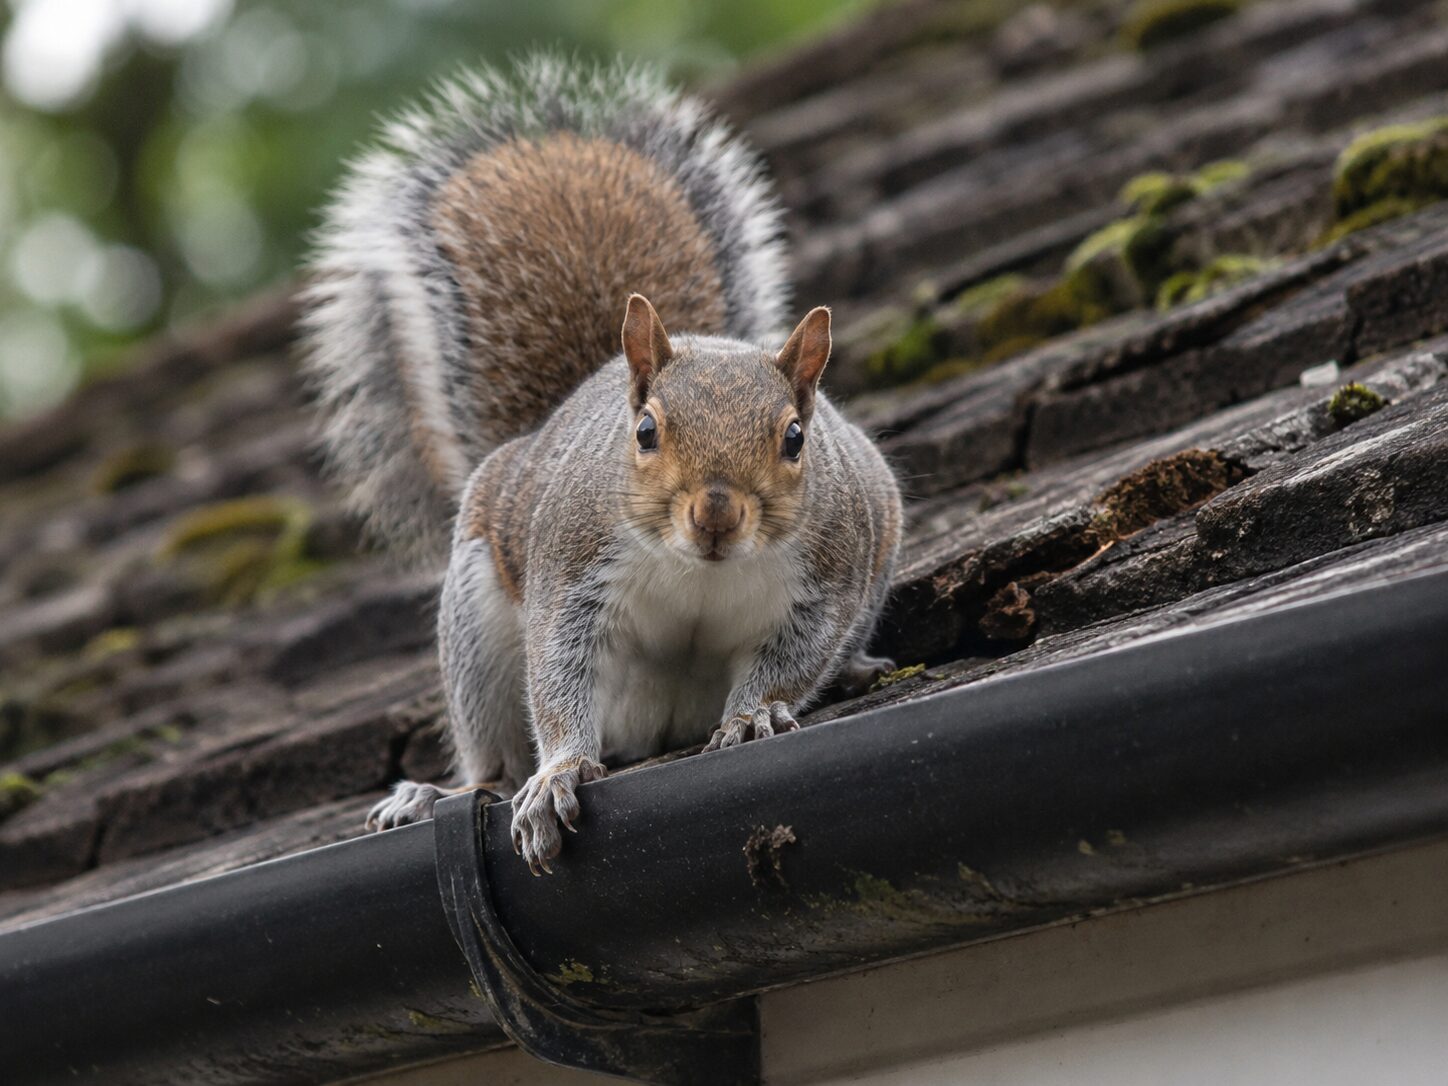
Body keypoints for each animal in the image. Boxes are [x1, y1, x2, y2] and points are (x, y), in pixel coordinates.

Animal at [302, 55, 903, 874]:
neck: (700, 571)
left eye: (794, 439)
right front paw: (557, 777)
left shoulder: (831, 578)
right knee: (493, 760)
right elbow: (559, 670)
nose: (716, 514)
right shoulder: (571, 564)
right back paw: (436, 795)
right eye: (645, 432)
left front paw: (753, 716)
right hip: (476, 623)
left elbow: (794, 658)